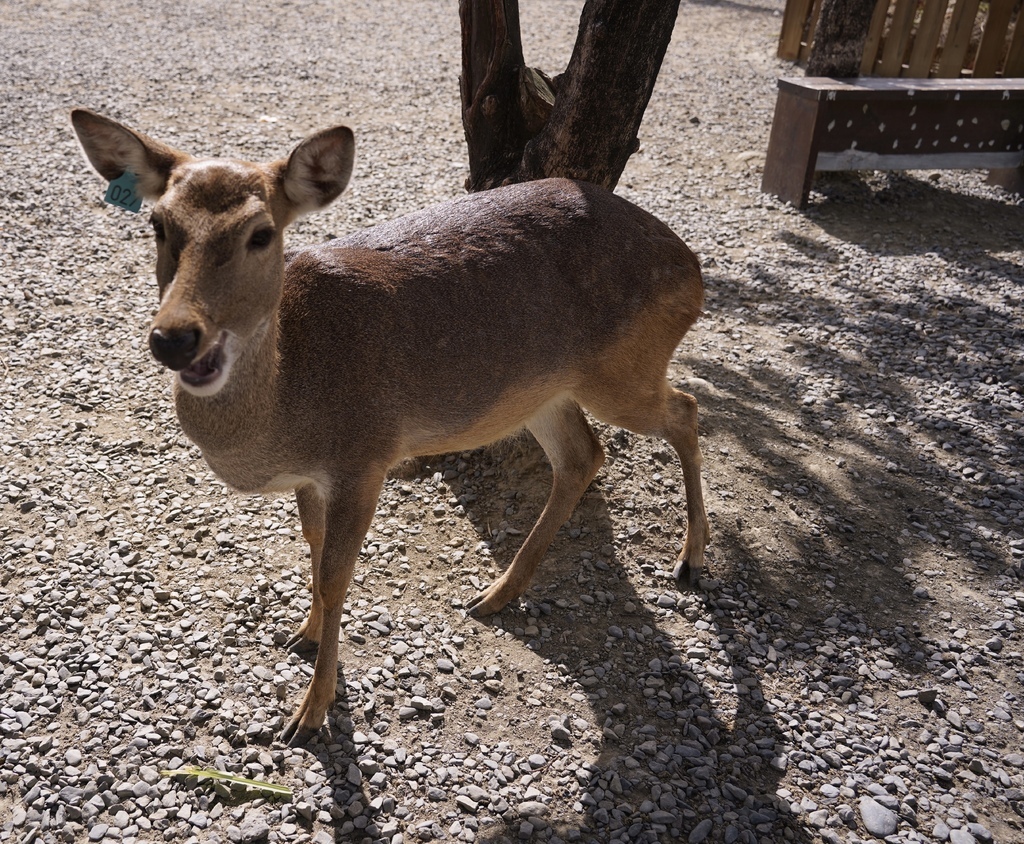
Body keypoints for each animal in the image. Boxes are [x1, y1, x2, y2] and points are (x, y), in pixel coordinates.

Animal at [72, 107, 712, 745]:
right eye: (158, 224)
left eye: (261, 233)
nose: (175, 337)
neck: (288, 404)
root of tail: (693, 266)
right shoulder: (313, 476)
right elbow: (315, 549)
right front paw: (303, 635)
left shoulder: (365, 456)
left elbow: (337, 575)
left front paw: (311, 713)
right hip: (543, 393)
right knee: (583, 454)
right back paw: (496, 594)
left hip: (622, 370)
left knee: (684, 408)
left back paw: (690, 559)